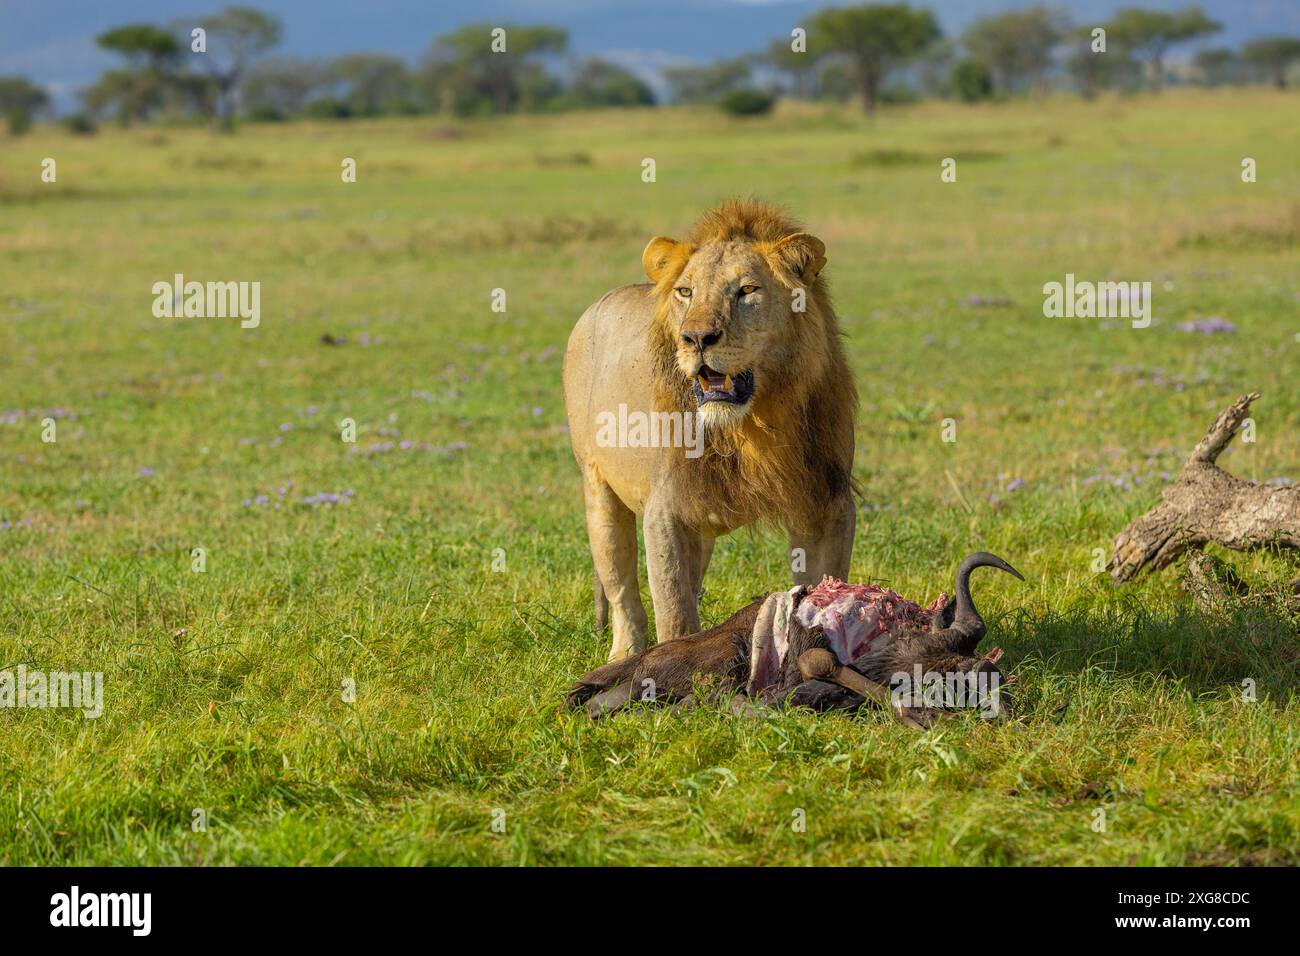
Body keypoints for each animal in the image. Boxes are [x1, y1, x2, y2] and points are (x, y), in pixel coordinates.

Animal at [566, 197, 857, 660]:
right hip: (599, 492)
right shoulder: (665, 508)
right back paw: (625, 653)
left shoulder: (827, 501)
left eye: (747, 291)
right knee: (623, 591)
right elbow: (674, 611)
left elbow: (825, 584)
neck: (751, 425)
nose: (696, 338)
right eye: (686, 292)